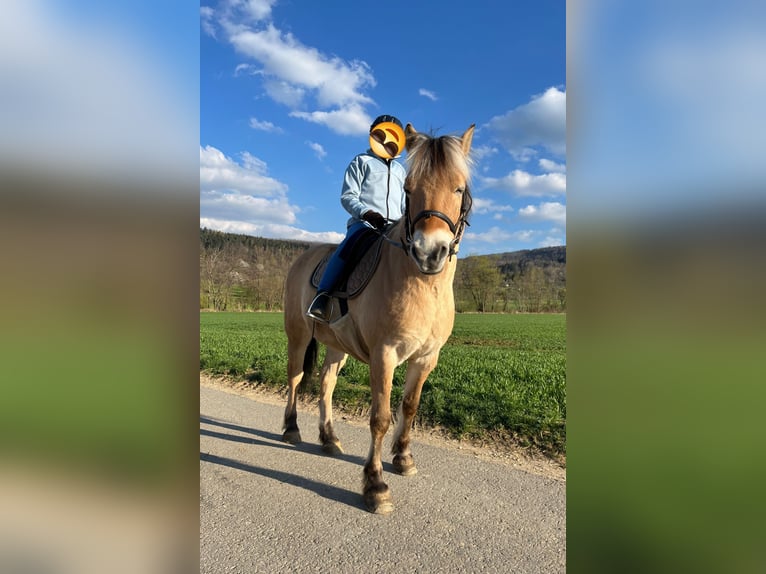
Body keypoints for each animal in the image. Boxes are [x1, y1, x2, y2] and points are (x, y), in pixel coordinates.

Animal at [282, 123, 475, 514]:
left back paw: (328, 438)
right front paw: (375, 485)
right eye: (409, 189)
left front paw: (403, 458)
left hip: (336, 346)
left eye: (458, 188)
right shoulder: (383, 355)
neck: (421, 283)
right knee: (295, 378)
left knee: (325, 384)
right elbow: (381, 417)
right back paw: (292, 429)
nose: (429, 252)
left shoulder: (426, 357)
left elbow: (410, 406)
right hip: (297, 336)